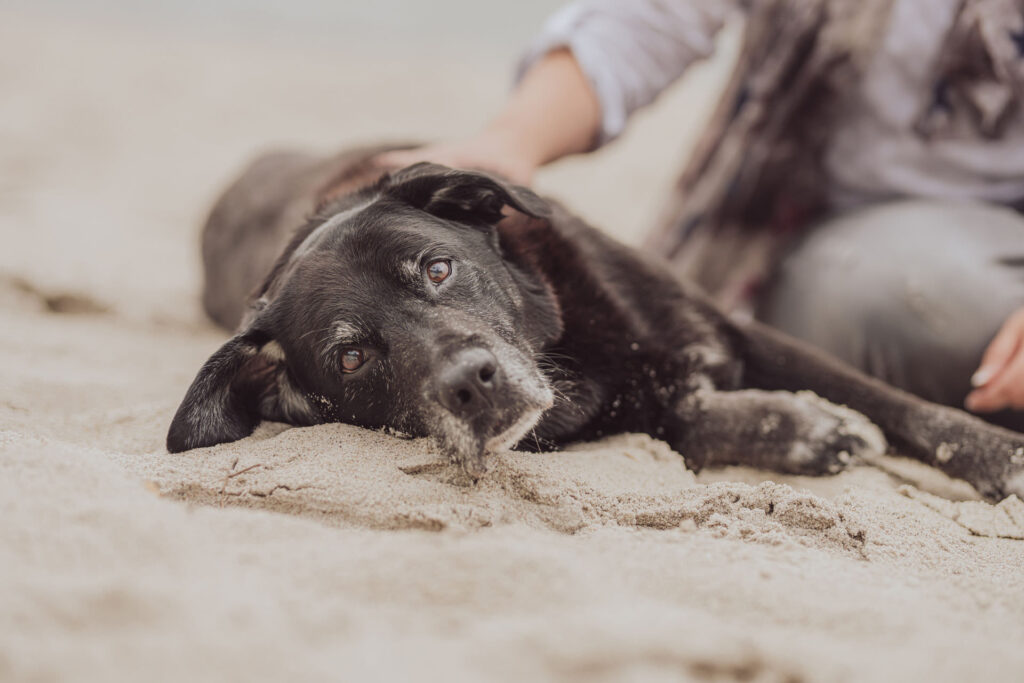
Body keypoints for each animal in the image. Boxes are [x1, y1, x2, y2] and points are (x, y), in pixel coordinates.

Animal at [167, 147, 1024, 501]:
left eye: (437, 269)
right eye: (350, 357)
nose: (473, 384)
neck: (573, 344)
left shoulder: (739, 328)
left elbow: (909, 409)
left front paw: (1003, 456)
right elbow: (691, 420)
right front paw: (807, 431)